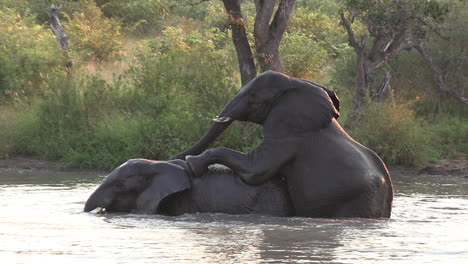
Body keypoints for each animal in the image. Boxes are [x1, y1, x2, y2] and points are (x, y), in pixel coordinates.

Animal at [174, 70, 394, 219]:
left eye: (252, 96)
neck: (294, 82)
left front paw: (192, 163)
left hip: (356, 201)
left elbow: (256, 171)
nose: (180, 158)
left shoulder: (289, 133)